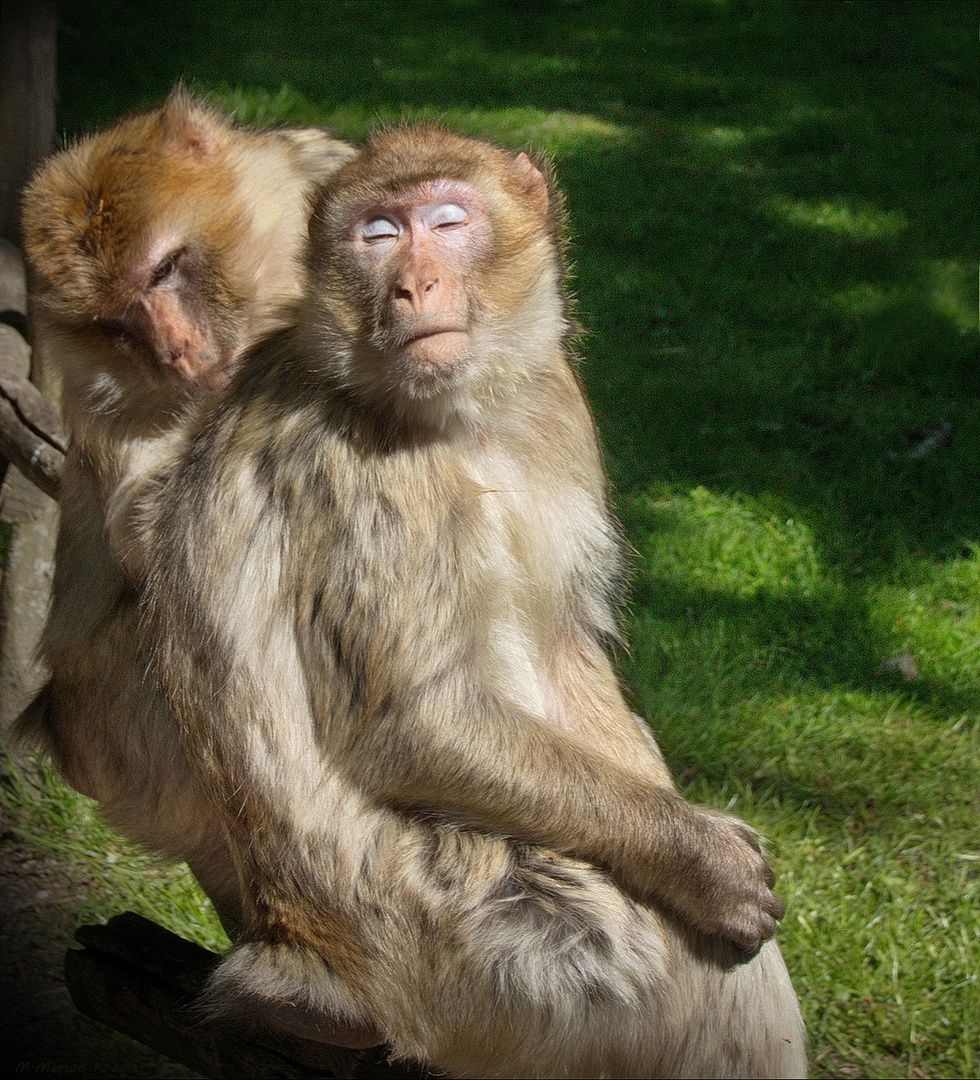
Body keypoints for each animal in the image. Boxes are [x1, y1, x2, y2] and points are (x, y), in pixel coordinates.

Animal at [15, 90, 358, 937]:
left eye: (167, 268)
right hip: (118, 737)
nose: (174, 349)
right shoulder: (91, 383)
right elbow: (142, 529)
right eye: (118, 321)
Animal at [118, 128, 803, 1080]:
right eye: (377, 235)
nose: (413, 285)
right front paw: (697, 861)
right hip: (480, 939)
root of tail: (304, 961)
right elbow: (415, 724)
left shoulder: (553, 396)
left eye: (447, 220)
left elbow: (565, 653)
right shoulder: (367, 471)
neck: (458, 415)